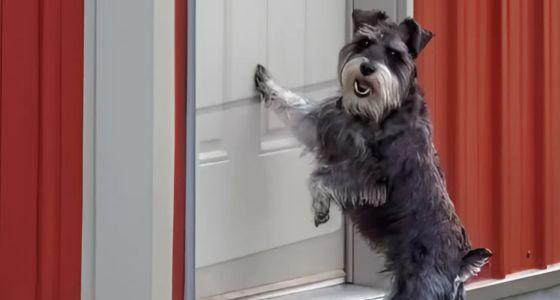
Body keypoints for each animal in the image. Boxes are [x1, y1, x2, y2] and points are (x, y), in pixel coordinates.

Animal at [256, 8, 492, 300]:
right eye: (365, 42)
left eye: (394, 53)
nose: (367, 68)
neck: (383, 111)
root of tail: (460, 266)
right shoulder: (328, 125)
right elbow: (297, 107)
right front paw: (266, 82)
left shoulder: (367, 175)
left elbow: (319, 177)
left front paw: (320, 208)